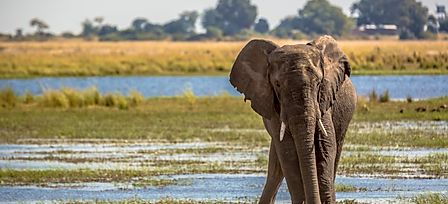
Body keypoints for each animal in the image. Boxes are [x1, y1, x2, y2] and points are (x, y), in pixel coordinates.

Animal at [229, 35, 356, 203]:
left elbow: (325, 147)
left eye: (318, 82)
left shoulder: (323, 101)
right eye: (277, 85)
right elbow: (288, 151)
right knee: (277, 167)